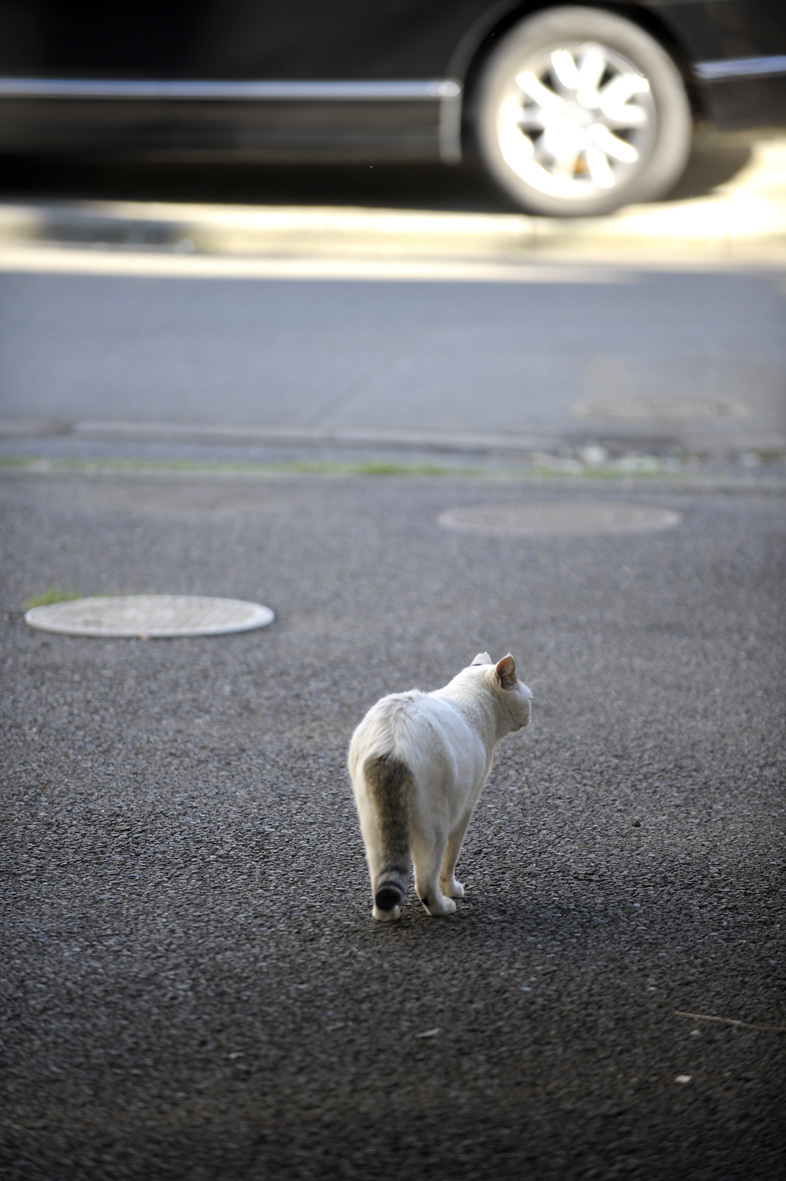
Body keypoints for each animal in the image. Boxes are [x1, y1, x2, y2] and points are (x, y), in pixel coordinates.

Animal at [349, 656, 528, 921]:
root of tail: (392, 741)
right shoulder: (466, 806)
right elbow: (450, 859)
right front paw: (451, 890)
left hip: (373, 824)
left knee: (383, 874)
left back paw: (387, 913)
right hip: (435, 825)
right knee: (425, 881)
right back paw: (442, 908)